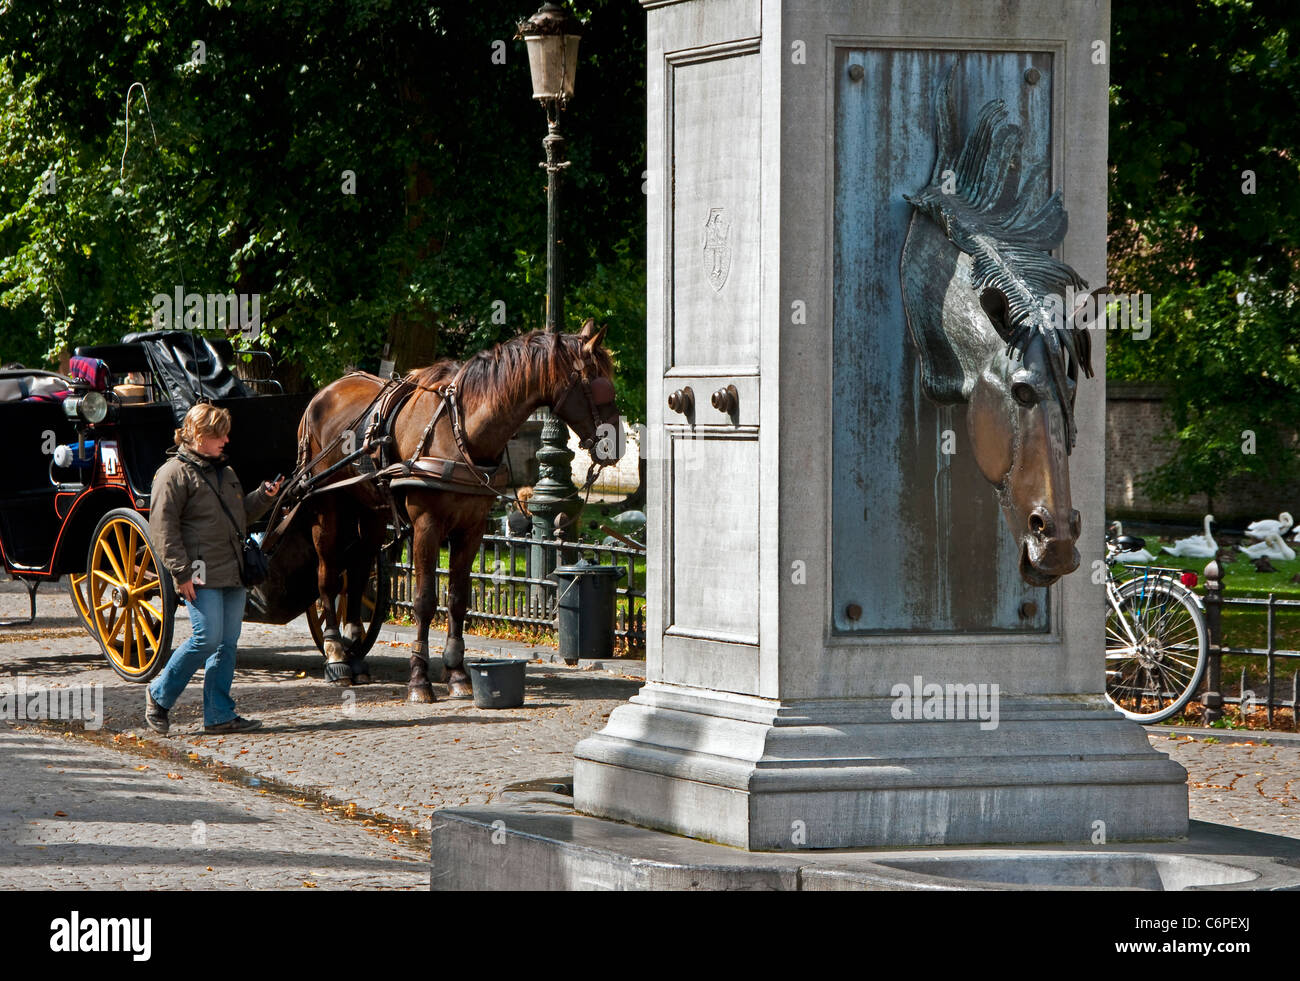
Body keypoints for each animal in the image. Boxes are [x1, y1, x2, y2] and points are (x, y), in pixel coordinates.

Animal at [295, 326, 618, 701]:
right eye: (597, 383)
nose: (618, 444)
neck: (460, 430)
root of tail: (323, 393)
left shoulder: (472, 528)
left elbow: (459, 599)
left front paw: (457, 673)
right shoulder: (427, 525)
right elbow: (424, 600)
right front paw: (419, 678)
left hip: (370, 510)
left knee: (358, 571)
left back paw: (356, 654)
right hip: (326, 507)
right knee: (328, 577)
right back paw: (336, 655)